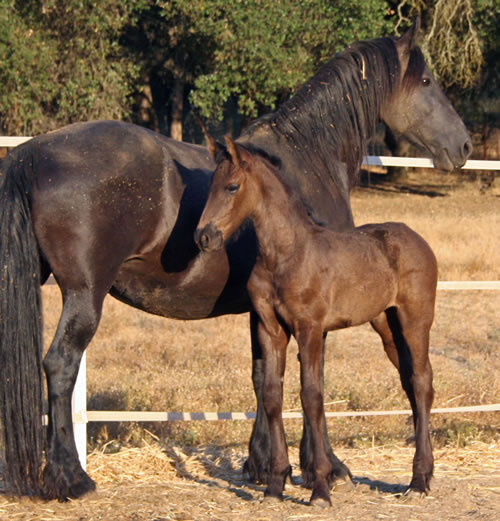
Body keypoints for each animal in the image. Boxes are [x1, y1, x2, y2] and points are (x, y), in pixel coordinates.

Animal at [195, 137, 438, 504]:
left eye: (232, 186)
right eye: (209, 185)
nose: (204, 237)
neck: (286, 254)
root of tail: (417, 239)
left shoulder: (309, 328)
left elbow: (311, 396)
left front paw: (321, 487)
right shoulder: (270, 329)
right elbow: (271, 395)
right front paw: (275, 484)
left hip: (415, 319)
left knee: (422, 382)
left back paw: (418, 481)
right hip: (387, 325)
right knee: (412, 382)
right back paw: (424, 474)